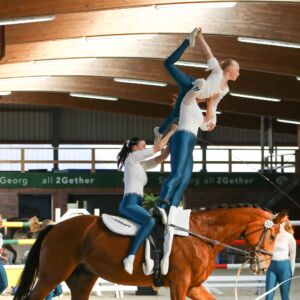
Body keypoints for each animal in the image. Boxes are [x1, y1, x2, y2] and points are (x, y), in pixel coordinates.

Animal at [13, 206, 282, 300]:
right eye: (271, 236)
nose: (263, 266)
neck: (199, 234)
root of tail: (55, 227)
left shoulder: (193, 286)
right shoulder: (179, 285)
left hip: (82, 279)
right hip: (51, 276)